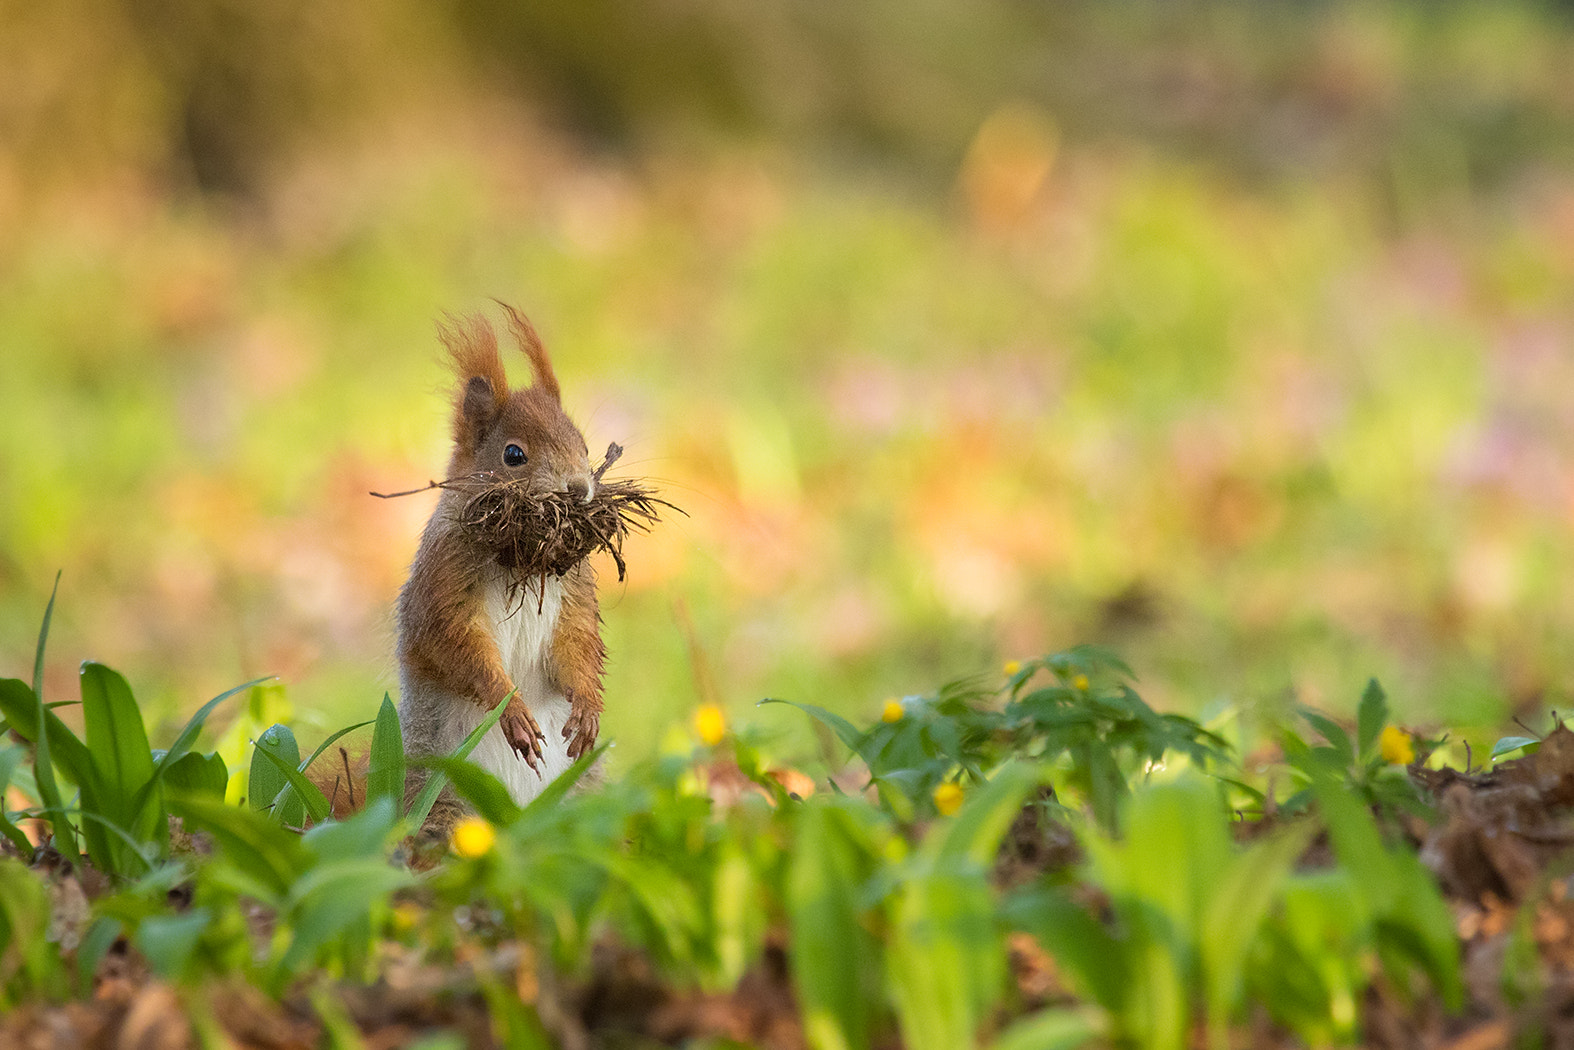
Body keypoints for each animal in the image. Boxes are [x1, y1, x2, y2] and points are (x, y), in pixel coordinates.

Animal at [396, 303, 604, 831]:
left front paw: (588, 705)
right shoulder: (443, 582)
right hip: (444, 801)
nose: (578, 489)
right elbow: (456, 646)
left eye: (585, 448)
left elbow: (578, 645)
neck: (521, 562)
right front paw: (512, 711)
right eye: (514, 455)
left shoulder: (573, 592)